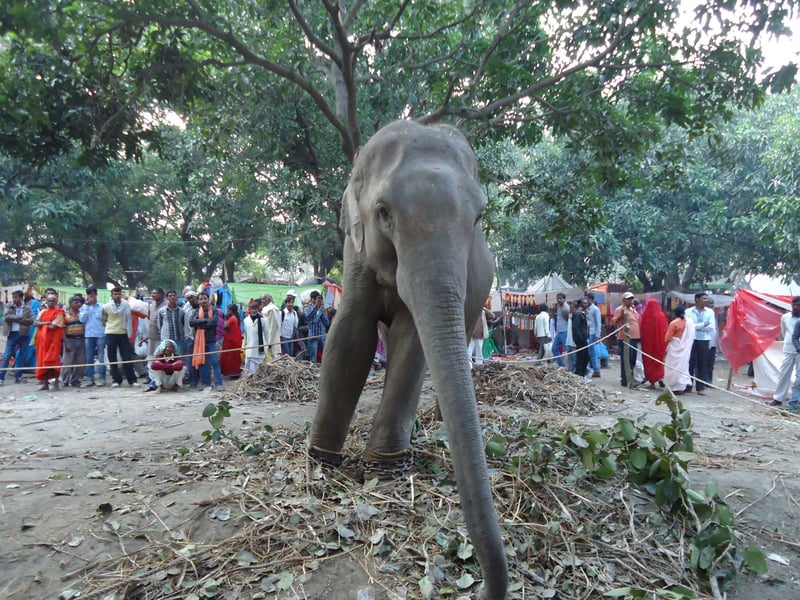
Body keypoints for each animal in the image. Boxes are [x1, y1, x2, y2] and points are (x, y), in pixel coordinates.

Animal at [310, 119, 510, 596]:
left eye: (478, 218)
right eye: (383, 212)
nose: (482, 587)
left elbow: (411, 336)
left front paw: (383, 470)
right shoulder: (355, 250)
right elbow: (349, 334)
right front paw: (319, 462)